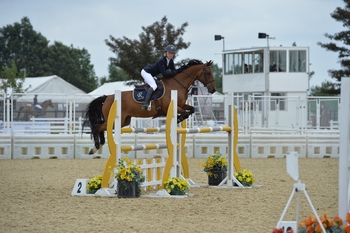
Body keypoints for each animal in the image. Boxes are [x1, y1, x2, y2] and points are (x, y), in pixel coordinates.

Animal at [84, 59, 216, 155]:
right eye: (208, 73)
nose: (213, 89)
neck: (178, 84)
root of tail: (107, 97)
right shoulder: (170, 107)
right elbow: (185, 112)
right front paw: (178, 119)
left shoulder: (182, 104)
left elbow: (191, 109)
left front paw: (179, 119)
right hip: (116, 120)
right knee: (96, 127)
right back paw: (96, 147)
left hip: (124, 121)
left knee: (101, 128)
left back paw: (97, 146)